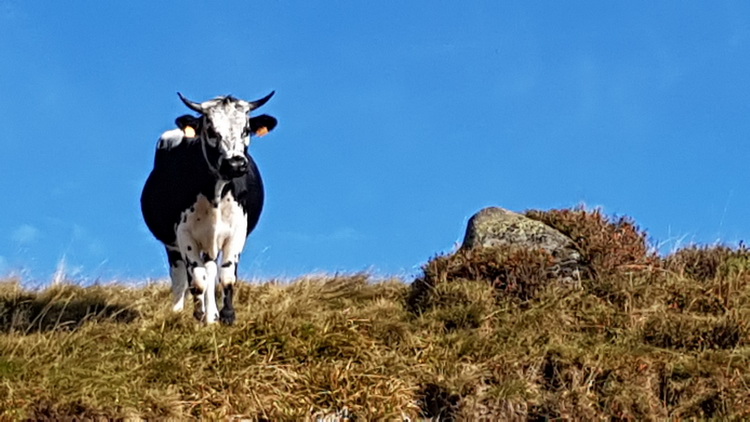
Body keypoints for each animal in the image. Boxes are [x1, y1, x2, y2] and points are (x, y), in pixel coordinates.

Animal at [142, 91, 280, 324]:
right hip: (174, 245)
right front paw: (198, 314)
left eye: (246, 130)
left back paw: (211, 315)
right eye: (211, 131)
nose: (235, 164)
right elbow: (197, 280)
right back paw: (180, 312)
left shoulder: (237, 230)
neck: (216, 193)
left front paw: (226, 315)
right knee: (180, 277)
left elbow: (226, 275)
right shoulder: (184, 233)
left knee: (211, 270)